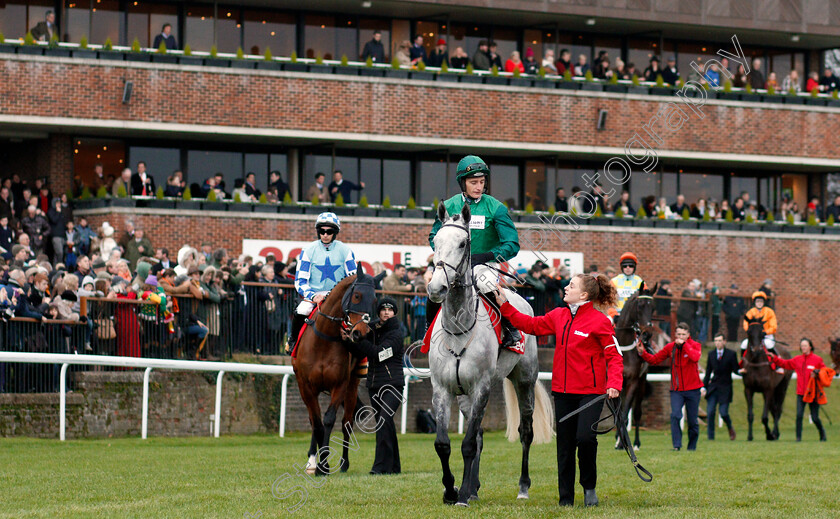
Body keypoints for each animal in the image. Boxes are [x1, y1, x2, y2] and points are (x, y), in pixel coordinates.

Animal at [292, 274, 378, 478]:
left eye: (375, 300)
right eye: (357, 296)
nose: (361, 333)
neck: (324, 339)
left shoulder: (339, 384)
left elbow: (329, 420)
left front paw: (324, 464)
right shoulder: (305, 386)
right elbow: (316, 423)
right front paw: (316, 463)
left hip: (352, 385)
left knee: (347, 422)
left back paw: (344, 463)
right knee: (313, 419)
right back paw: (311, 461)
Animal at [426, 202, 552, 508]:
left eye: (463, 243)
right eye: (436, 241)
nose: (436, 288)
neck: (458, 327)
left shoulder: (481, 387)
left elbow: (468, 444)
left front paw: (460, 494)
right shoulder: (442, 388)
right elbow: (444, 444)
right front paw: (452, 490)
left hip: (524, 380)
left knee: (525, 432)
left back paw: (522, 487)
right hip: (464, 395)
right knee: (481, 434)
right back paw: (472, 488)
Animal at [612, 284, 660, 450]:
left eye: (653, 307)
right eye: (640, 306)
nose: (647, 334)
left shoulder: (633, 381)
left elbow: (625, 413)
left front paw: (623, 443)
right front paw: (619, 440)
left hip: (642, 383)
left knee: (638, 412)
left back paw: (636, 442)